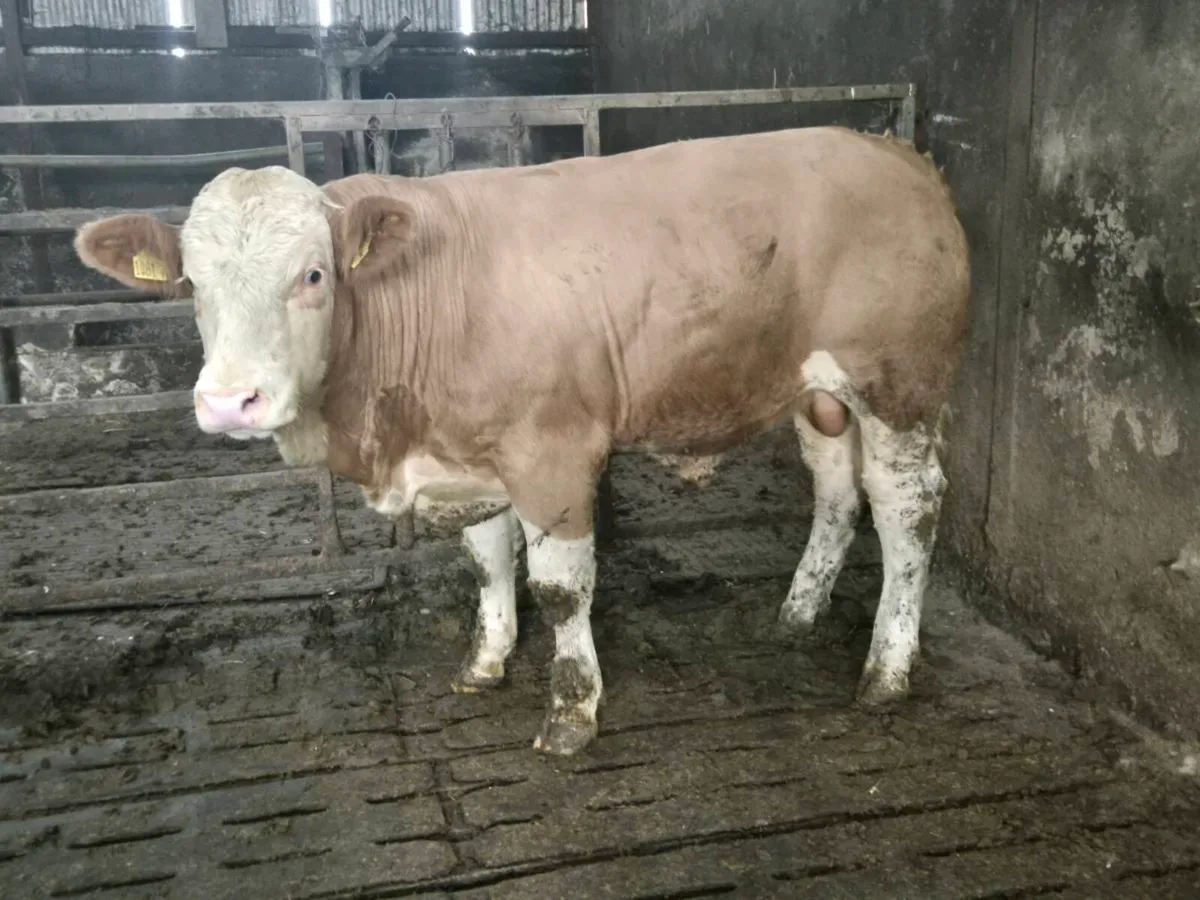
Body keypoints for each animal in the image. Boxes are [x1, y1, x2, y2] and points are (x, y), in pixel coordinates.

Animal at [74, 125, 970, 756]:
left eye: (313, 275)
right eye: (191, 284)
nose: (231, 401)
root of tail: (895, 152)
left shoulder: (554, 453)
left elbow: (561, 588)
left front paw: (573, 709)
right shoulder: (470, 457)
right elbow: (486, 562)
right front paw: (486, 660)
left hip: (899, 385)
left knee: (907, 510)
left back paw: (887, 669)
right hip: (820, 395)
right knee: (836, 490)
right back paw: (797, 613)